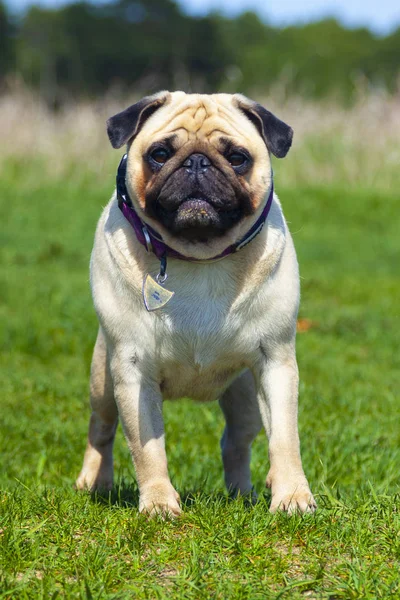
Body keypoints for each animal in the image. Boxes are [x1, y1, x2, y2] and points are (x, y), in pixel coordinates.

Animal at [76, 90, 316, 516]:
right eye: (159, 154)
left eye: (236, 157)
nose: (197, 162)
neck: (199, 257)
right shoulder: (133, 372)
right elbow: (147, 449)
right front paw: (158, 502)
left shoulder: (276, 362)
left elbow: (286, 439)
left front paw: (292, 496)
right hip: (103, 379)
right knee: (101, 429)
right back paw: (95, 483)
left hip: (245, 399)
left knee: (236, 442)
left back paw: (245, 493)